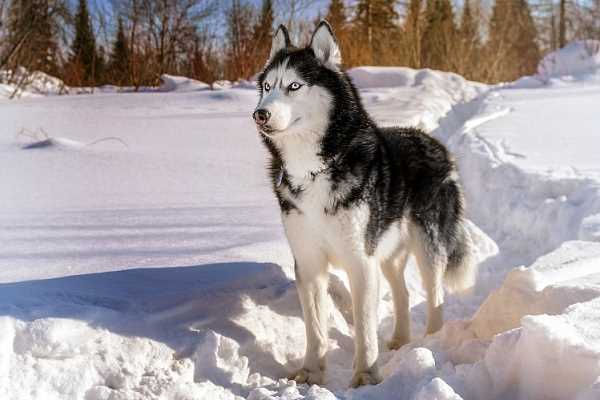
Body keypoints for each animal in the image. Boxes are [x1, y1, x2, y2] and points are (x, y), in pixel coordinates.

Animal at [251, 21, 476, 388]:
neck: (314, 170)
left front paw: (366, 376)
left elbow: (365, 329)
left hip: (427, 248)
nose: (259, 114)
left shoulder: (361, 262)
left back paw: (431, 342)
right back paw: (400, 340)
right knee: (403, 294)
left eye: (294, 85)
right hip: (388, 255)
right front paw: (311, 373)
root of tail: (433, 141)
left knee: (436, 295)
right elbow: (315, 329)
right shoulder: (309, 264)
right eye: (267, 87)